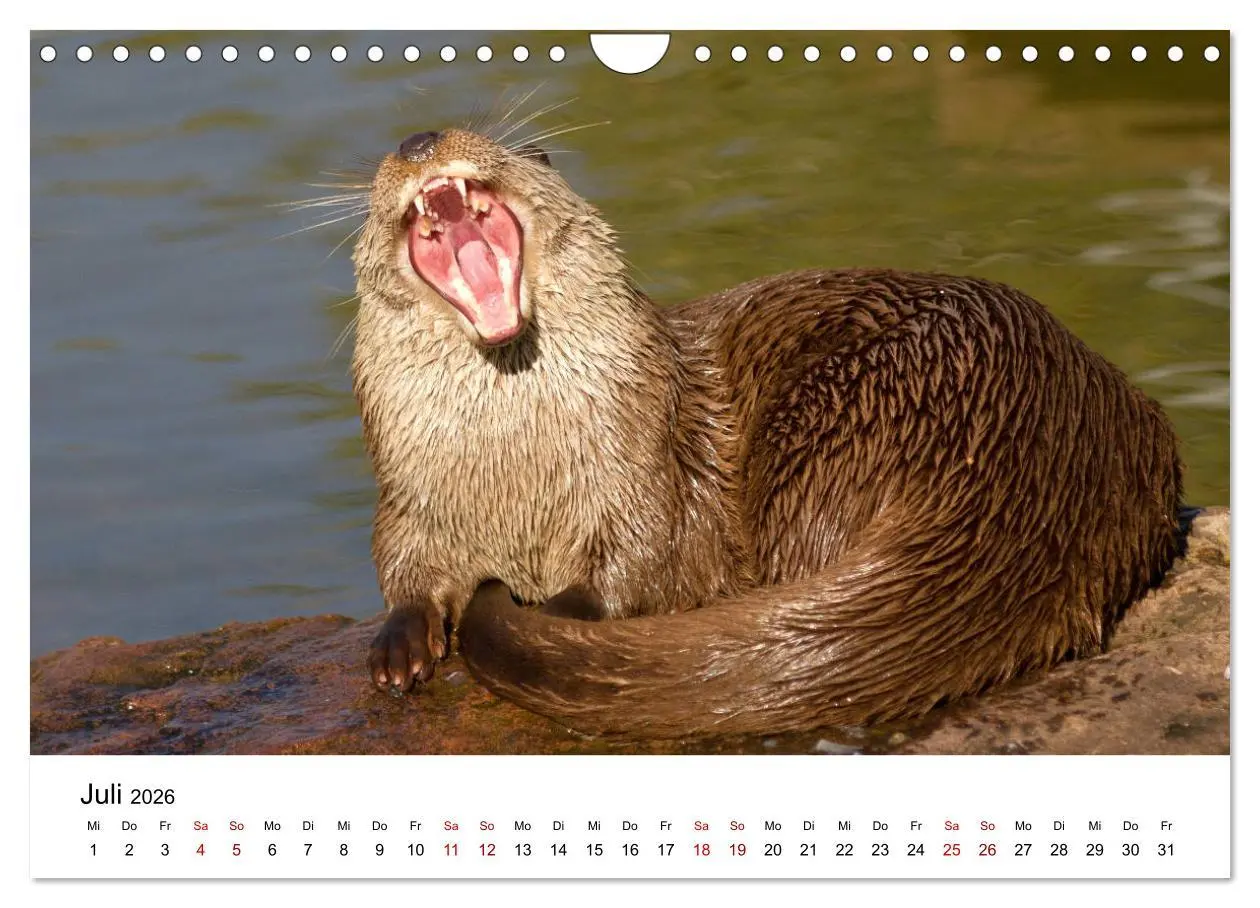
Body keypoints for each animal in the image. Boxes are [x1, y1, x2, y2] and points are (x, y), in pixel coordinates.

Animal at [351, 127, 1183, 738]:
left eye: (513, 146)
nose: (421, 139)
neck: (512, 481)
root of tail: (1027, 465)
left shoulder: (646, 481)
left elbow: (637, 569)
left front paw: (557, 611)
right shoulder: (408, 499)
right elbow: (402, 564)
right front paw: (401, 639)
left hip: (844, 414)